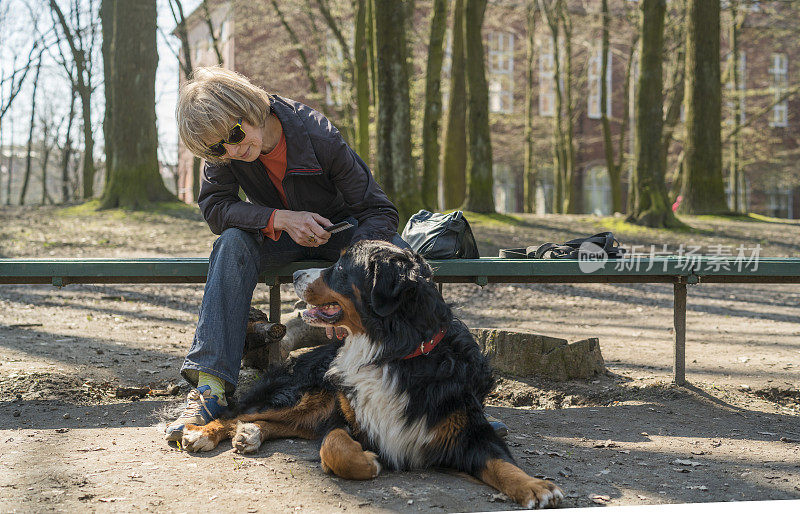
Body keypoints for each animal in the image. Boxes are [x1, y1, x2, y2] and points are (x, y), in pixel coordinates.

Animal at [181, 238, 564, 506]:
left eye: (340, 267)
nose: (296, 274)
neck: (393, 352)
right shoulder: (352, 421)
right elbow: (333, 445)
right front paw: (368, 463)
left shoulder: (467, 431)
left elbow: (502, 463)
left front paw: (534, 486)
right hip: (307, 391)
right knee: (238, 412)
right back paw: (203, 432)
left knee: (277, 422)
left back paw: (251, 434)